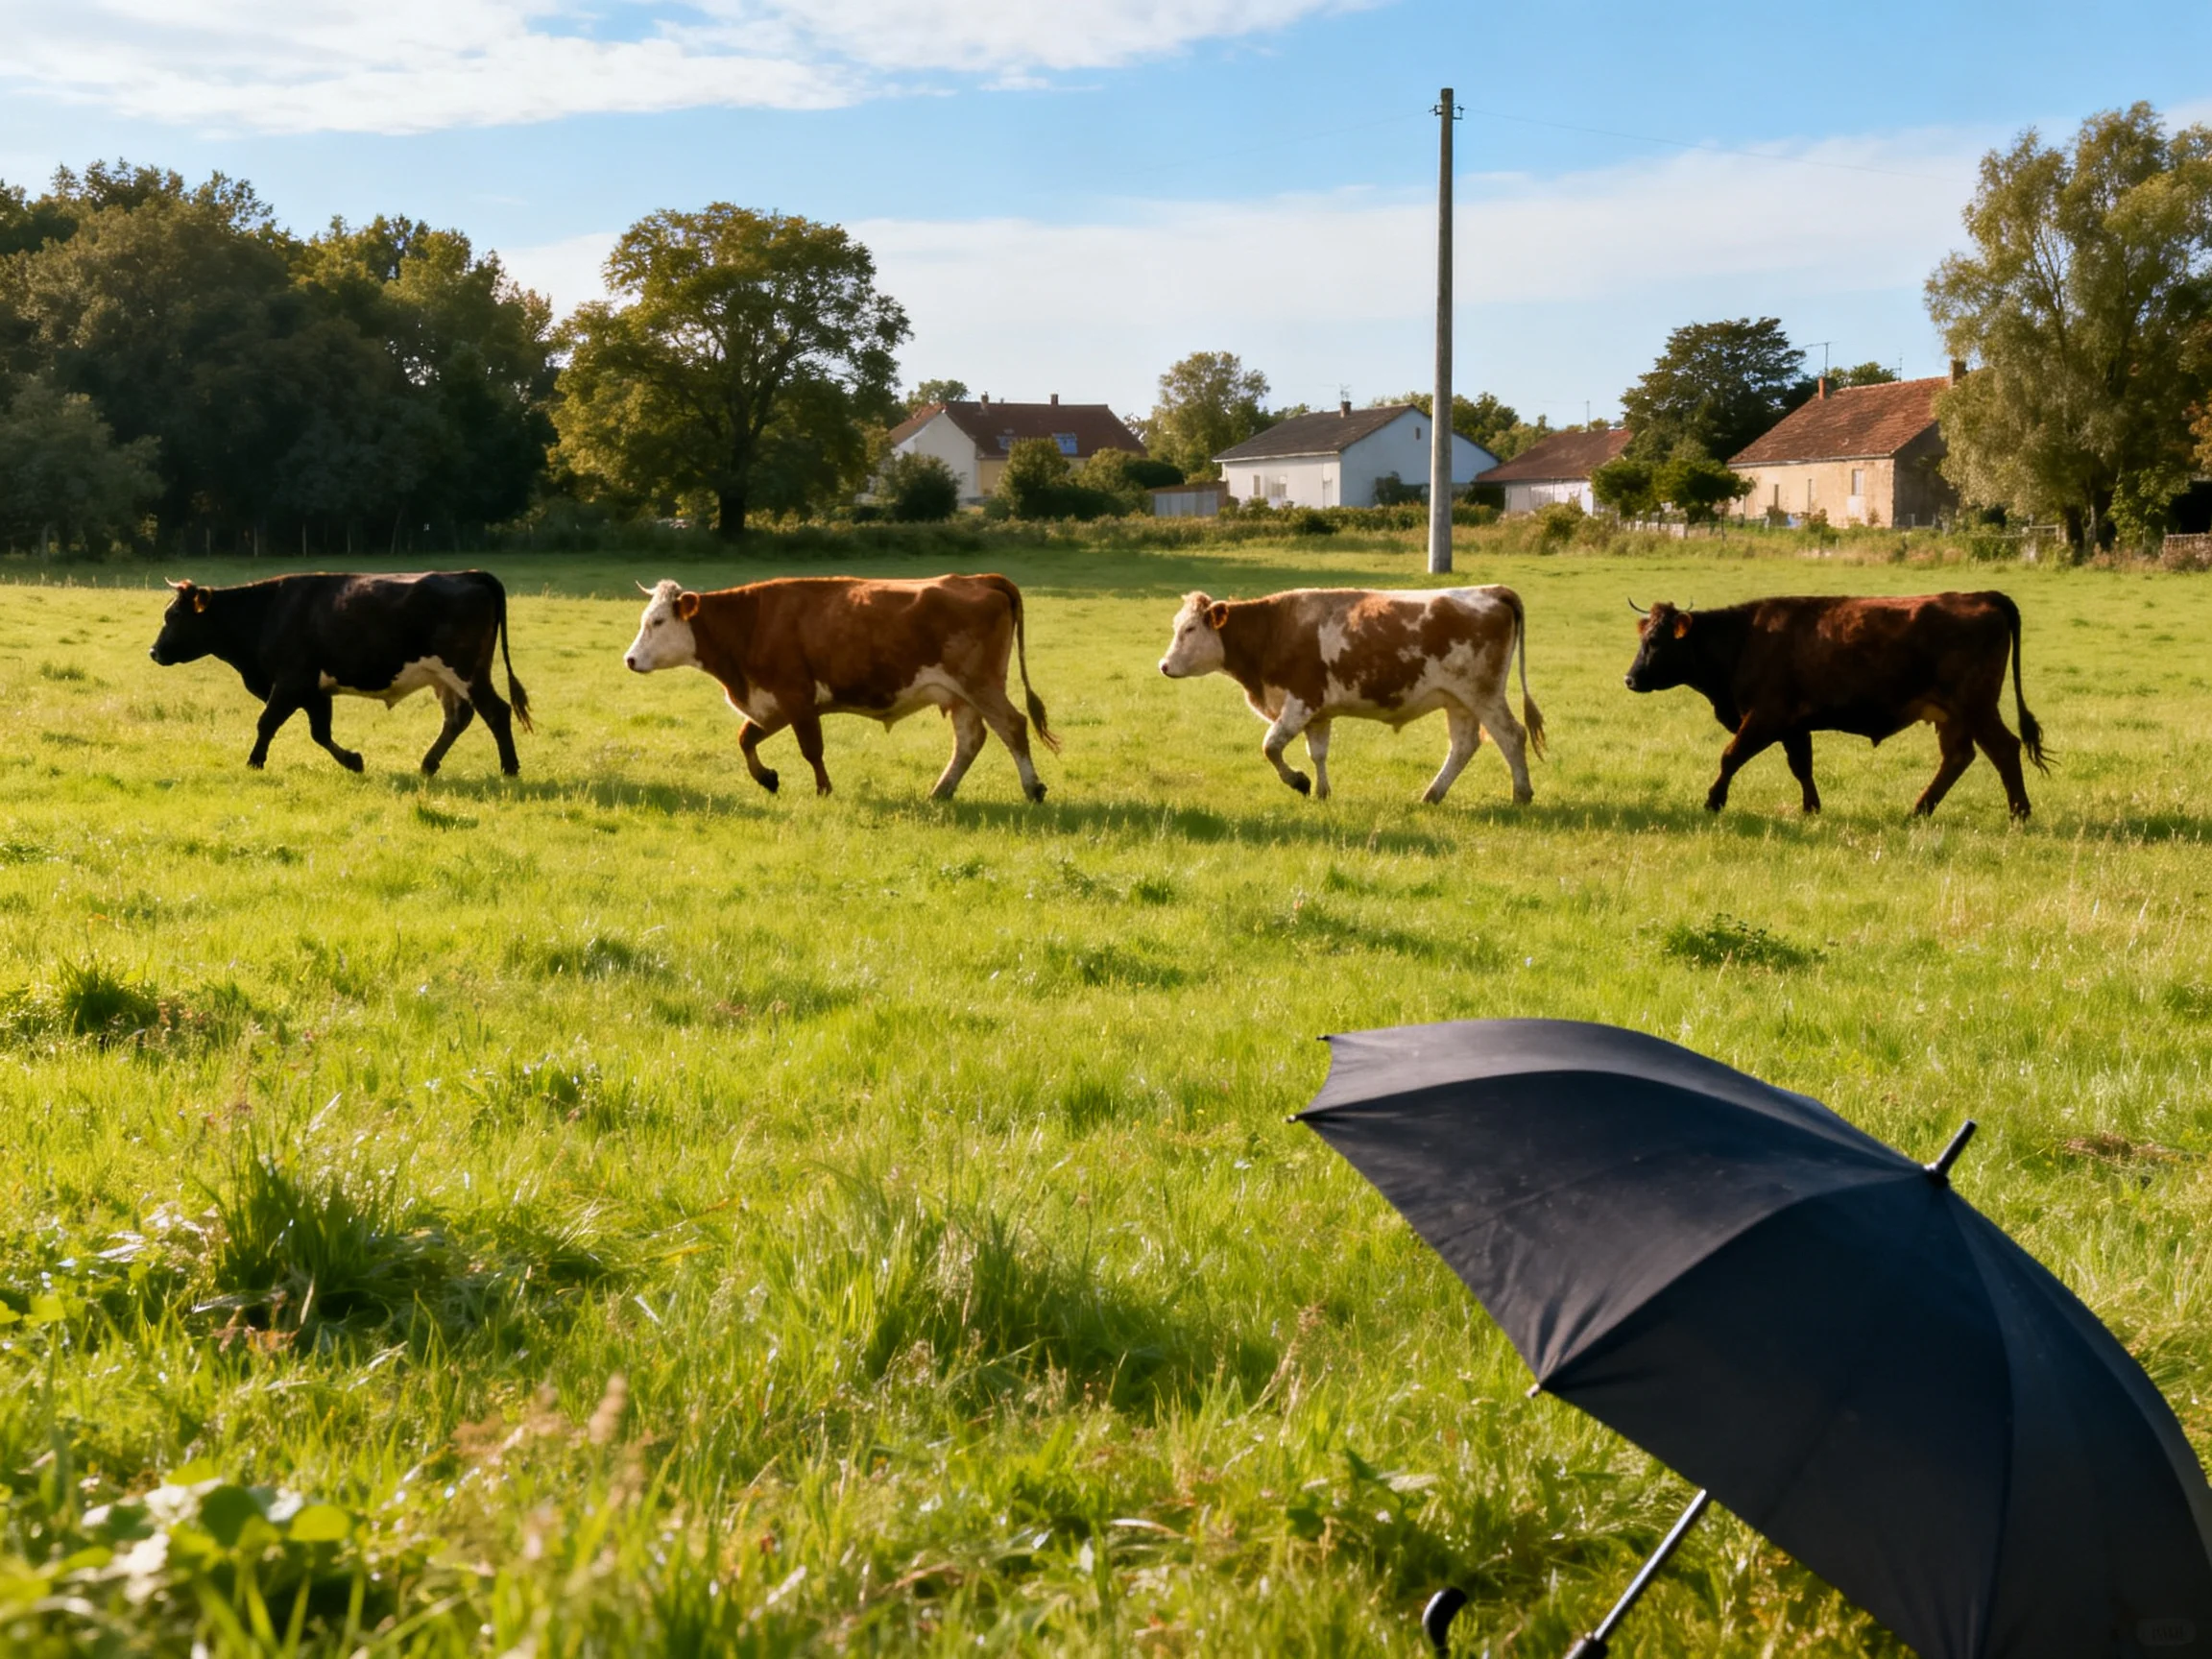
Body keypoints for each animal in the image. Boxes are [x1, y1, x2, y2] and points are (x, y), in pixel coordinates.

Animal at [148, 570, 532, 775]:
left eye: (175, 616)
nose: (154, 651)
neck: (267, 612)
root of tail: (469, 574)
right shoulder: (314, 691)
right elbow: (320, 733)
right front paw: (353, 760)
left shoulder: (290, 682)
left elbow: (266, 722)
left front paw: (254, 762)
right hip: (445, 678)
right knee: (458, 718)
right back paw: (428, 763)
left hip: (467, 672)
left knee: (496, 712)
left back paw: (510, 768)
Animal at [623, 573, 1059, 801]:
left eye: (657, 622)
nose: (630, 659)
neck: (751, 623)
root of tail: (976, 579)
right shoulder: (774, 704)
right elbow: (746, 738)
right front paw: (767, 778)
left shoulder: (797, 698)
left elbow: (811, 750)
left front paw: (823, 789)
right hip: (961, 695)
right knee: (970, 739)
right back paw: (941, 791)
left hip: (981, 684)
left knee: (1013, 726)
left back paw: (1032, 788)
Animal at [1156, 586, 1544, 804]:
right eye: (1177, 627)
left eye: (1190, 629)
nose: (1164, 665)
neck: (1272, 630)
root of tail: (1493, 590)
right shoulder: (1318, 714)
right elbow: (1318, 753)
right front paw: (1321, 791)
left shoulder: (1300, 702)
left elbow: (1271, 746)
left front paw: (1298, 782)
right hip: (1458, 701)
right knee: (1464, 745)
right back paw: (1432, 795)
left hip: (1483, 693)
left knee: (1511, 735)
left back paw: (1521, 795)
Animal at [1621, 591, 2048, 819]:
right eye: (1643, 639)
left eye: (1656, 642)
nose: (1630, 679)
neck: (1743, 640)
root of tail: (1982, 596)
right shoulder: (1793, 726)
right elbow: (1801, 767)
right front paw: (1812, 807)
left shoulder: (1764, 717)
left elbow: (1731, 756)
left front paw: (1714, 800)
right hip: (1952, 715)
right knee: (1958, 757)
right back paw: (1919, 810)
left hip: (1976, 706)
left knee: (2004, 749)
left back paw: (2019, 812)